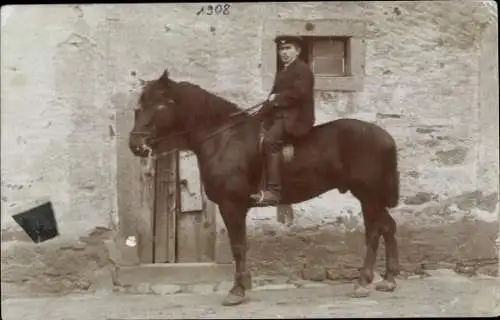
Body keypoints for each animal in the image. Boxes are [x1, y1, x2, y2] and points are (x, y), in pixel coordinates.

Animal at [129, 69, 402, 304]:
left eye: (159, 104)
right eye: (139, 106)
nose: (136, 145)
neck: (224, 139)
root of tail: (385, 136)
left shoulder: (231, 205)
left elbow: (238, 246)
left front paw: (237, 291)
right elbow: (240, 245)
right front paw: (242, 285)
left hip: (368, 196)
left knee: (374, 232)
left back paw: (363, 282)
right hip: (371, 197)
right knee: (388, 226)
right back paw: (388, 280)